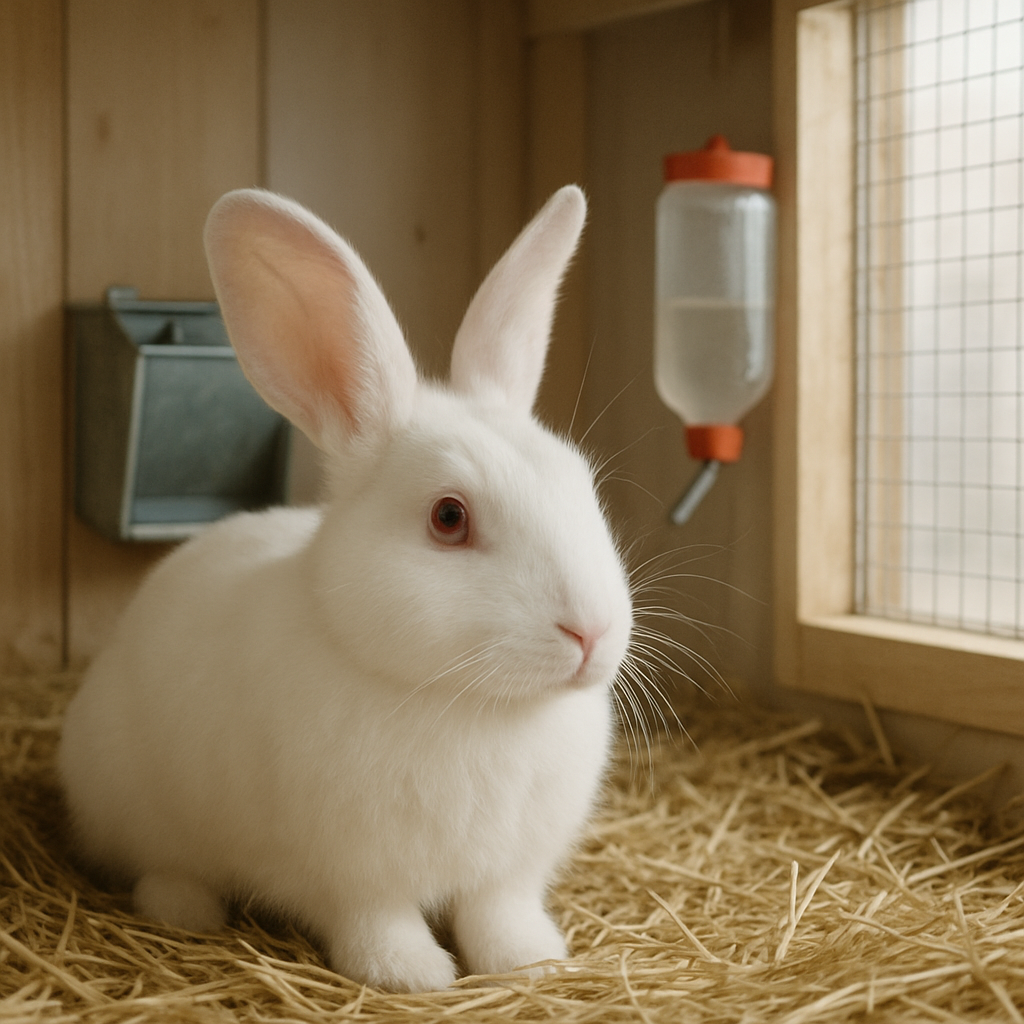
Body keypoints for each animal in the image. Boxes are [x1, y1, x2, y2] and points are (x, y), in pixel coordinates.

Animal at [58, 185, 634, 994]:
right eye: (449, 518)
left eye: (581, 482)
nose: (591, 632)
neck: (473, 704)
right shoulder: (352, 878)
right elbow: (376, 922)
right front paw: (412, 975)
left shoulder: (506, 873)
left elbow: (499, 913)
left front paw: (532, 961)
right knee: (160, 866)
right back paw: (186, 909)